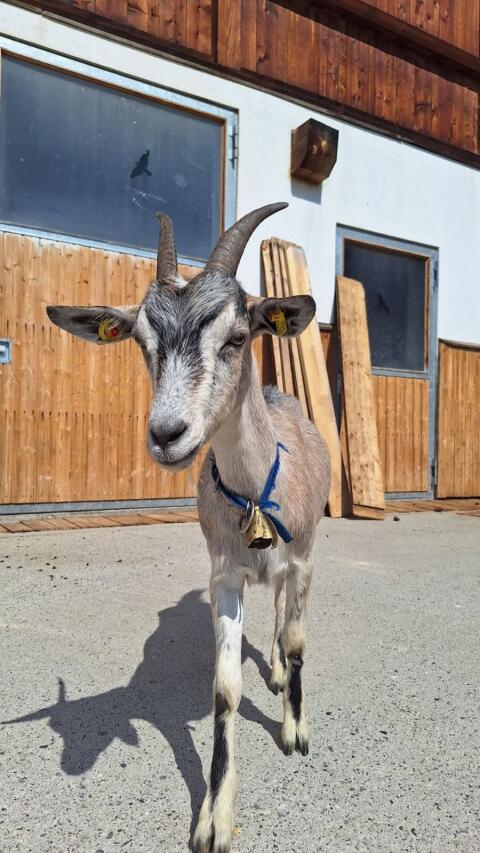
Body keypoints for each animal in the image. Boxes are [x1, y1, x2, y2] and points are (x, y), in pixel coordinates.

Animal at [47, 202, 331, 853]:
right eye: (141, 342)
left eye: (237, 336)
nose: (166, 433)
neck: (256, 491)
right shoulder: (223, 576)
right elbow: (225, 688)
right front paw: (214, 818)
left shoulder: (303, 560)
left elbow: (298, 643)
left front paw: (295, 733)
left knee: (284, 614)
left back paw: (279, 677)